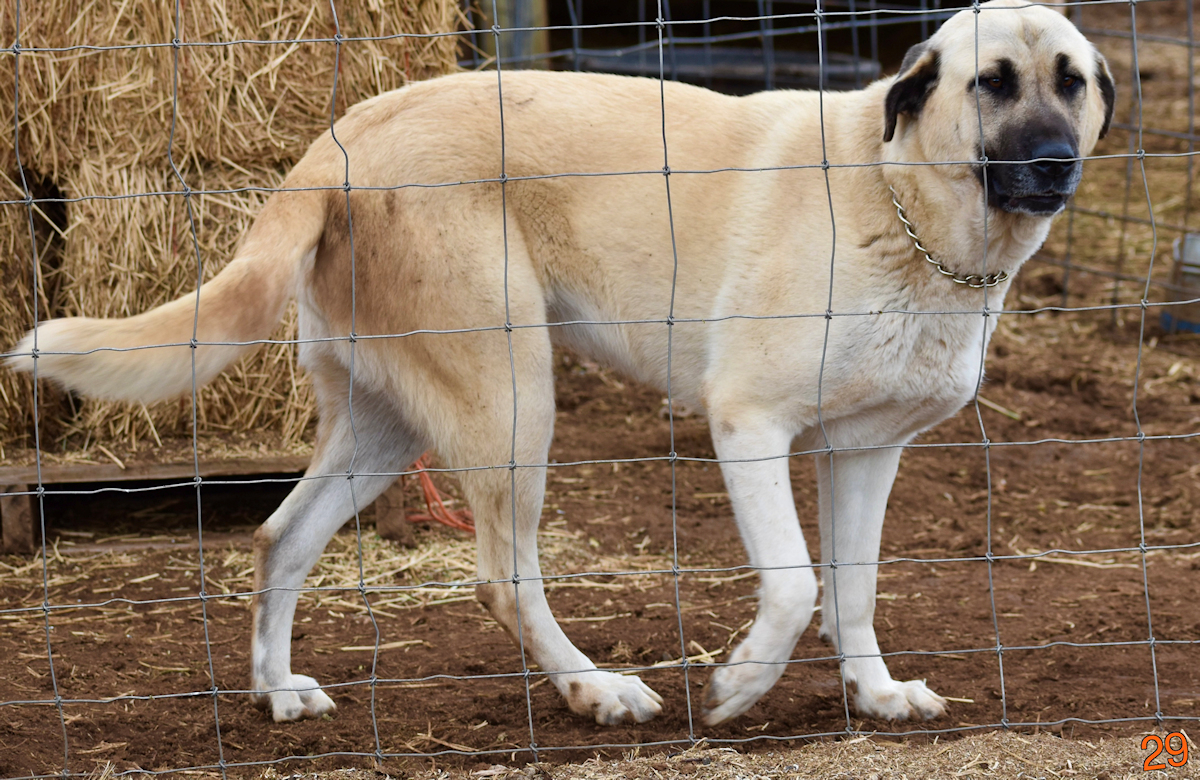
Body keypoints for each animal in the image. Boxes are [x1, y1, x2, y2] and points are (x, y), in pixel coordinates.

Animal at [11, 0, 1113, 724]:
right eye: (990, 84)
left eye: (1072, 82)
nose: (1055, 162)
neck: (903, 200)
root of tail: (346, 133)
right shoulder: (747, 422)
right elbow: (798, 585)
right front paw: (736, 687)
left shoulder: (863, 451)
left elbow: (852, 589)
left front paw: (875, 696)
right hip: (512, 402)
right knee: (502, 577)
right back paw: (594, 690)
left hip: (391, 422)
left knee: (279, 540)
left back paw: (279, 693)